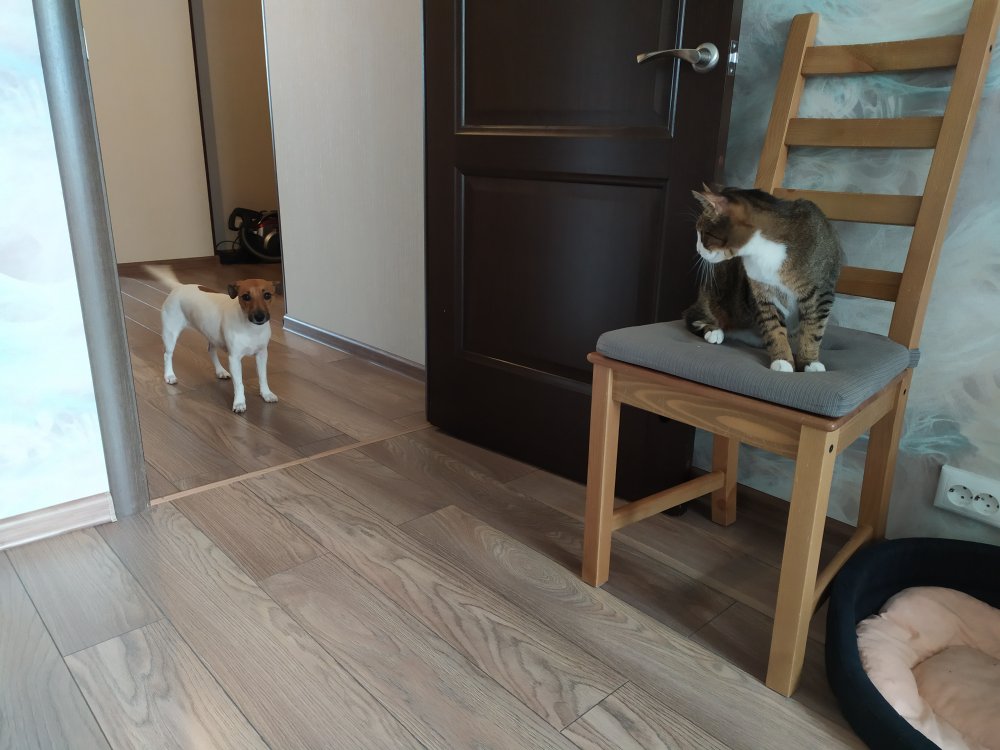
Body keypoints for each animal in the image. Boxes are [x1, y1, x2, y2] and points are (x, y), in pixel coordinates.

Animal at [147, 266, 282, 413]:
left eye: (267, 295)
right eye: (246, 297)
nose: (259, 316)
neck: (252, 329)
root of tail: (178, 287)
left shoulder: (262, 354)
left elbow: (263, 377)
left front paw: (266, 394)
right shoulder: (234, 358)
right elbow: (239, 383)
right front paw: (239, 402)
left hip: (212, 335)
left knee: (211, 351)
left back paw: (220, 371)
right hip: (170, 334)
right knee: (167, 355)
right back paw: (169, 375)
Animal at [683, 185, 843, 372]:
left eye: (703, 234)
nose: (697, 250)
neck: (763, 250)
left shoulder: (821, 292)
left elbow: (813, 329)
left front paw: (809, 362)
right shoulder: (762, 293)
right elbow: (773, 327)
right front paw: (782, 360)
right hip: (714, 296)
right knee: (692, 315)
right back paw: (713, 331)